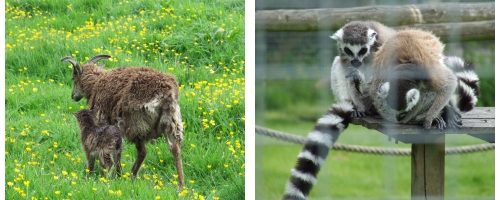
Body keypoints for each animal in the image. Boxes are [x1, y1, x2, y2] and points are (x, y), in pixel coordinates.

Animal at [61, 54, 185, 189]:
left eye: (73, 78)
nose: (73, 96)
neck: (96, 84)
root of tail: (165, 95)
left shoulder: (104, 121)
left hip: (135, 124)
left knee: (141, 152)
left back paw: (125, 174)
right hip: (172, 122)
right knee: (175, 149)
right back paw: (180, 186)